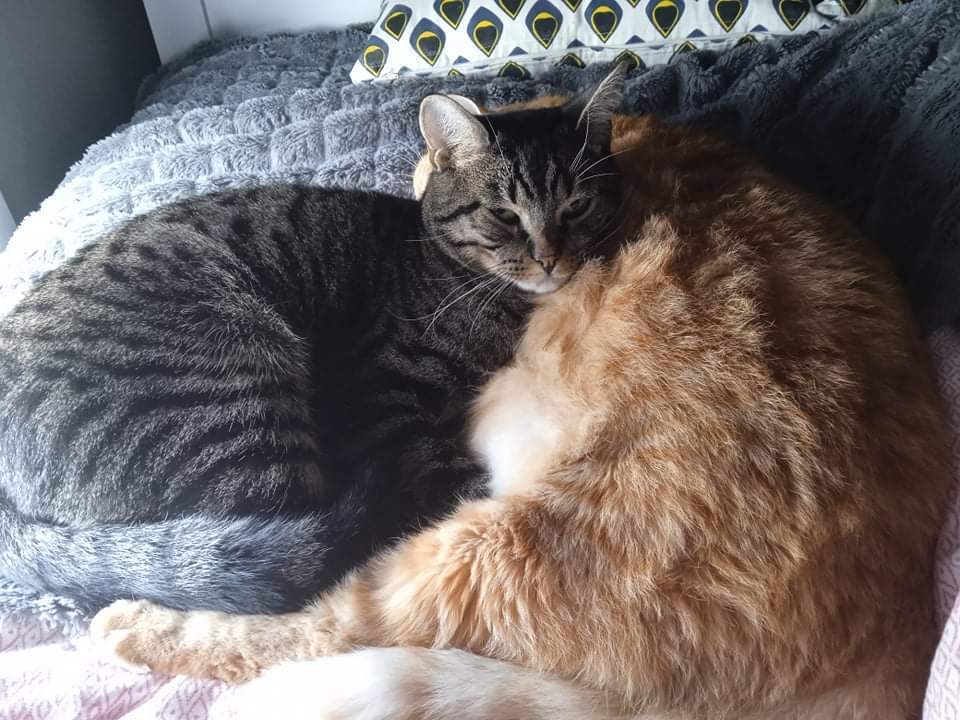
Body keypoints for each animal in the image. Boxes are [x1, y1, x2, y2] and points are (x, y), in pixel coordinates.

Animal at [0, 72, 624, 614]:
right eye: (503, 214)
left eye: (577, 206)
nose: (551, 258)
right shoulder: (380, 402)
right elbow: (465, 492)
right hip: (233, 398)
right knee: (303, 553)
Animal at [91, 71, 951, 720]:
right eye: (506, 214)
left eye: (570, 210)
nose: (544, 258)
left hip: (487, 549)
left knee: (326, 625)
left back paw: (135, 626)